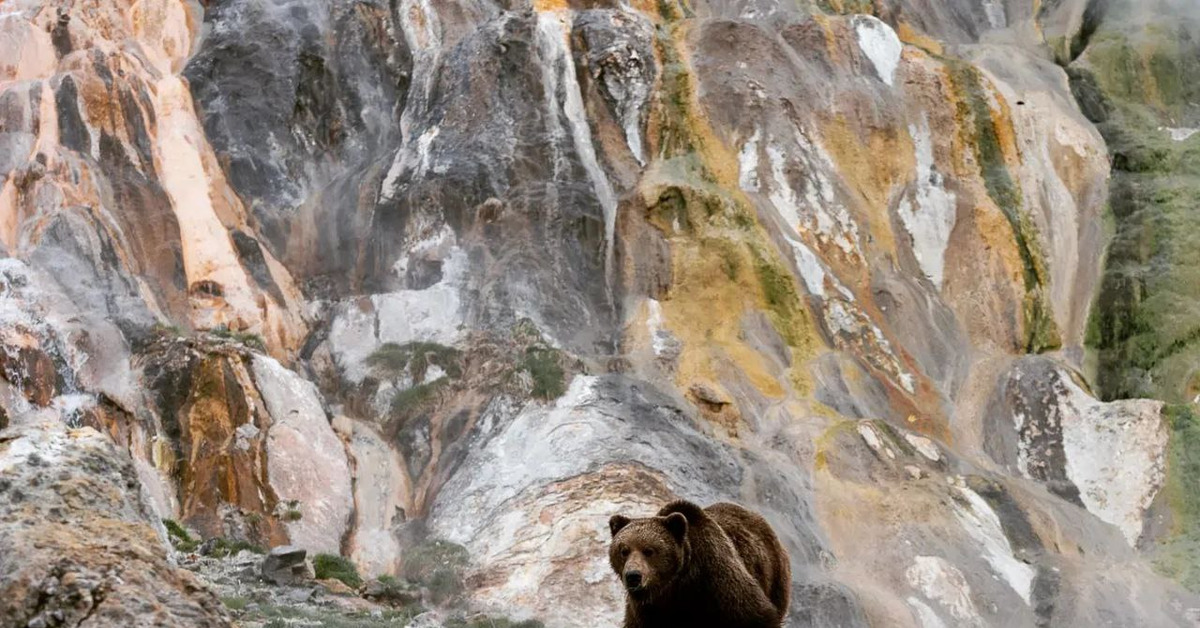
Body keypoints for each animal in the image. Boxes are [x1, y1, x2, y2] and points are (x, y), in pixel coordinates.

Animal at [604, 501, 792, 628]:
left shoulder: (719, 580)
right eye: (624, 550)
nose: (633, 576)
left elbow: (755, 614)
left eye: (649, 550)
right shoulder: (647, 610)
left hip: (775, 577)